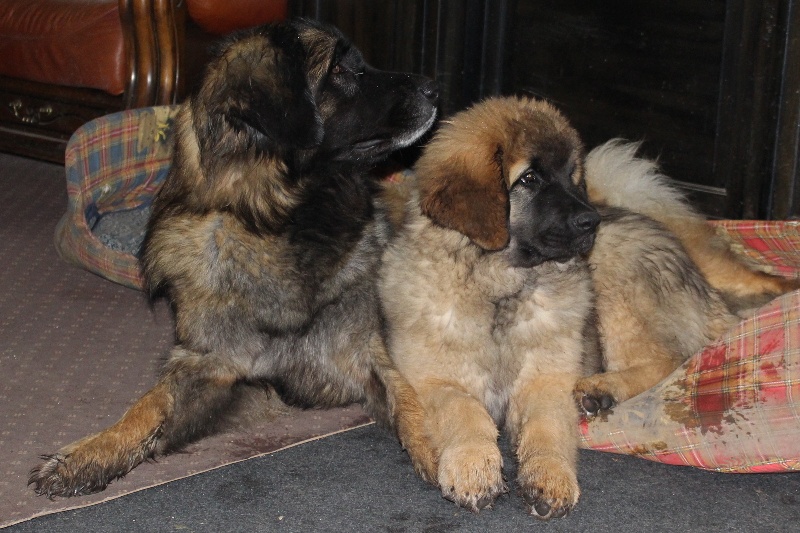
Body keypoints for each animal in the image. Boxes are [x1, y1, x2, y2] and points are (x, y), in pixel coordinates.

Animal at [31, 18, 440, 496]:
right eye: (339, 70)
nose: (433, 87)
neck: (279, 225)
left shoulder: (365, 349)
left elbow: (408, 398)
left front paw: (448, 451)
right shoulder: (209, 362)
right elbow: (147, 406)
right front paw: (88, 454)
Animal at [382, 96, 792, 520]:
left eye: (571, 175)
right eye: (530, 178)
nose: (590, 221)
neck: (501, 287)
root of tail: (705, 288)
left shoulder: (547, 378)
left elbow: (546, 428)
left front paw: (550, 477)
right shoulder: (434, 379)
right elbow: (464, 411)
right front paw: (473, 468)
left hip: (617, 284)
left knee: (668, 358)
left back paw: (600, 388)